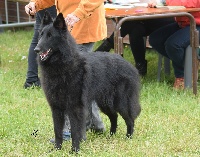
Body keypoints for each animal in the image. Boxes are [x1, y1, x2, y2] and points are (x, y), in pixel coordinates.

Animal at [34, 11, 141, 153]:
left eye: (50, 36)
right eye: (41, 35)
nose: (36, 49)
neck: (61, 64)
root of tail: (129, 65)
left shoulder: (75, 107)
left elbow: (75, 131)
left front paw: (75, 150)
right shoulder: (56, 108)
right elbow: (57, 131)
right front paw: (57, 149)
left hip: (120, 102)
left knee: (129, 119)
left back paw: (128, 137)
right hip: (105, 103)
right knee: (114, 117)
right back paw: (111, 136)